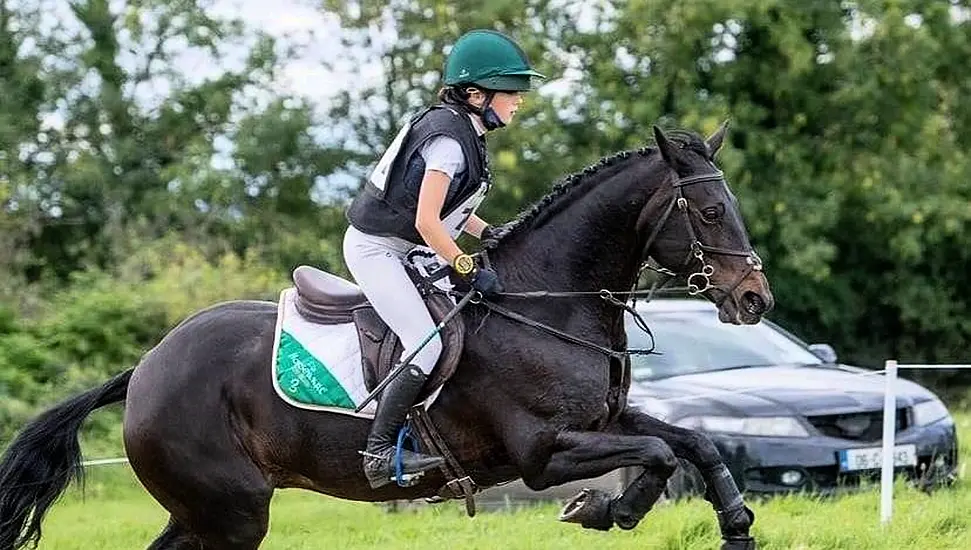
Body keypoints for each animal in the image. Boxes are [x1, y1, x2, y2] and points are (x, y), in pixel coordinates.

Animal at [0, 124, 776, 550]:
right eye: (710, 211)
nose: (753, 299)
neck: (548, 303)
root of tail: (143, 370)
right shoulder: (541, 453)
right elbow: (657, 455)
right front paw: (602, 509)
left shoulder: (604, 420)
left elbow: (692, 444)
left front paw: (736, 523)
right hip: (231, 513)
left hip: (205, 513)